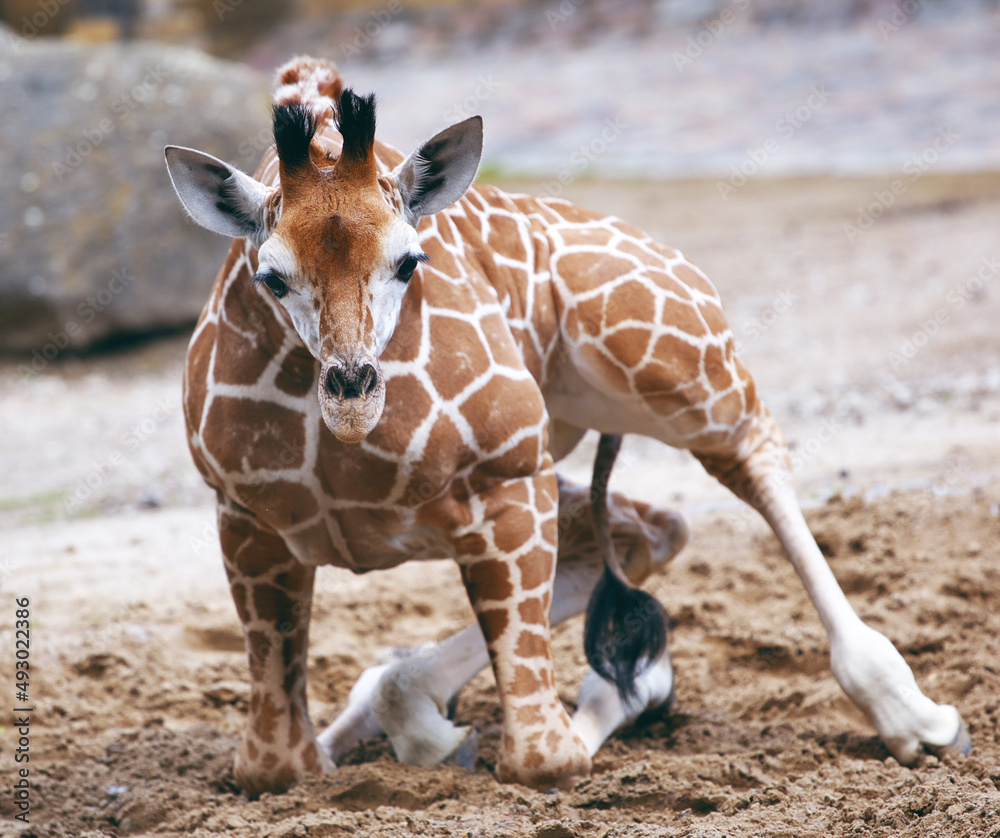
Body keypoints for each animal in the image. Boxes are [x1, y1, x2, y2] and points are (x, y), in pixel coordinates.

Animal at [165, 56, 969, 796]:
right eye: (272, 277)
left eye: (409, 262)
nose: (353, 396)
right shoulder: (247, 523)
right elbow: (274, 765)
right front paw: (416, 730)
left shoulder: (507, 476)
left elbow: (543, 756)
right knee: (650, 528)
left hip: (670, 370)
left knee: (751, 458)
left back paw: (917, 719)